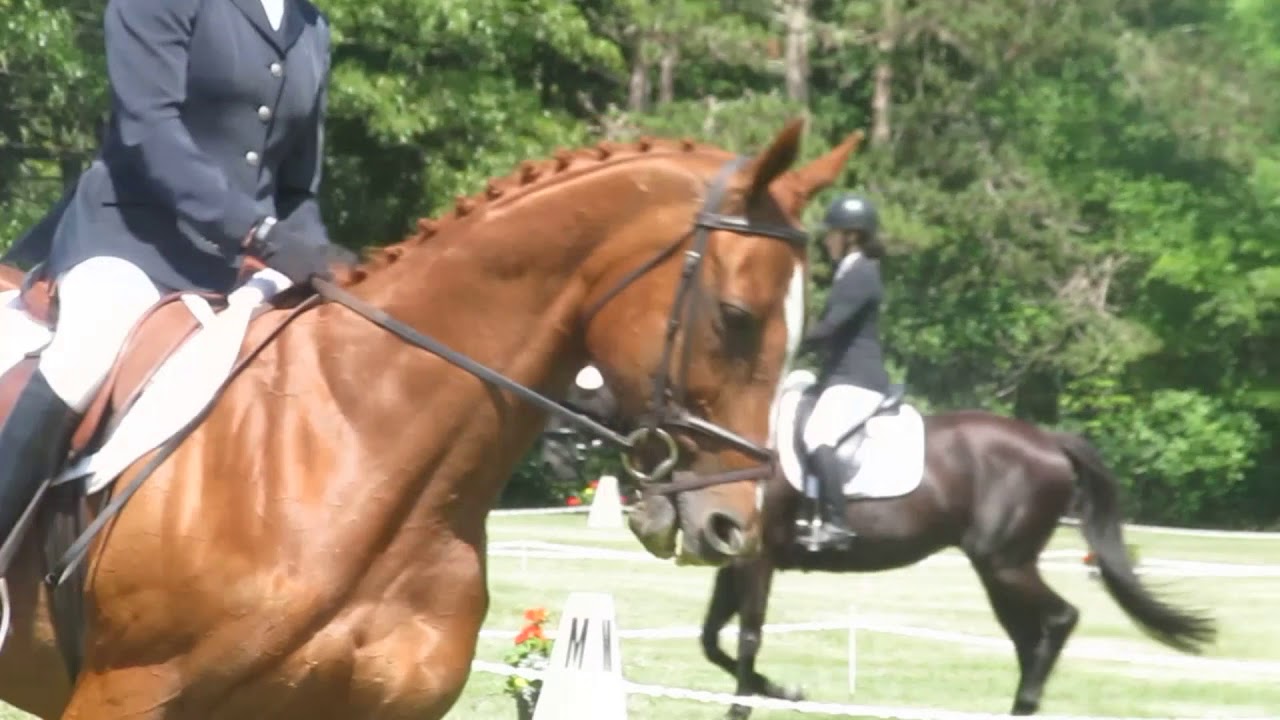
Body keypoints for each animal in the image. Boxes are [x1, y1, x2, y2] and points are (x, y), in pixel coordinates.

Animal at [698, 368, 1218, 718]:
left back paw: (1026, 702)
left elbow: (746, 636)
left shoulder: (757, 561)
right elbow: (711, 640)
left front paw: (744, 705)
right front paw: (782, 691)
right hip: (999, 571)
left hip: (1005, 564)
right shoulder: (735, 562)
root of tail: (1049, 441)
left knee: (1059, 619)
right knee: (1029, 638)